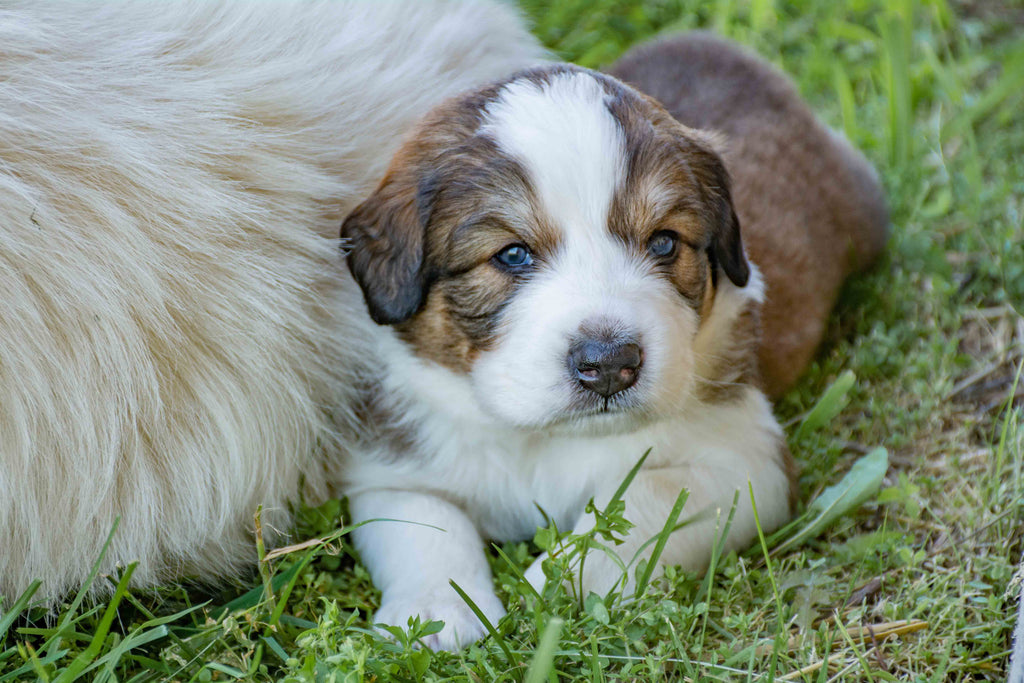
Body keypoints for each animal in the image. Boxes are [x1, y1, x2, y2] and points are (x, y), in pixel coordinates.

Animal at [342, 38, 888, 651]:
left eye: (664, 242)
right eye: (512, 254)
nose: (609, 365)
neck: (547, 439)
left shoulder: (748, 463)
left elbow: (647, 498)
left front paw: (556, 580)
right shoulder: (394, 468)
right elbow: (423, 526)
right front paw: (435, 615)